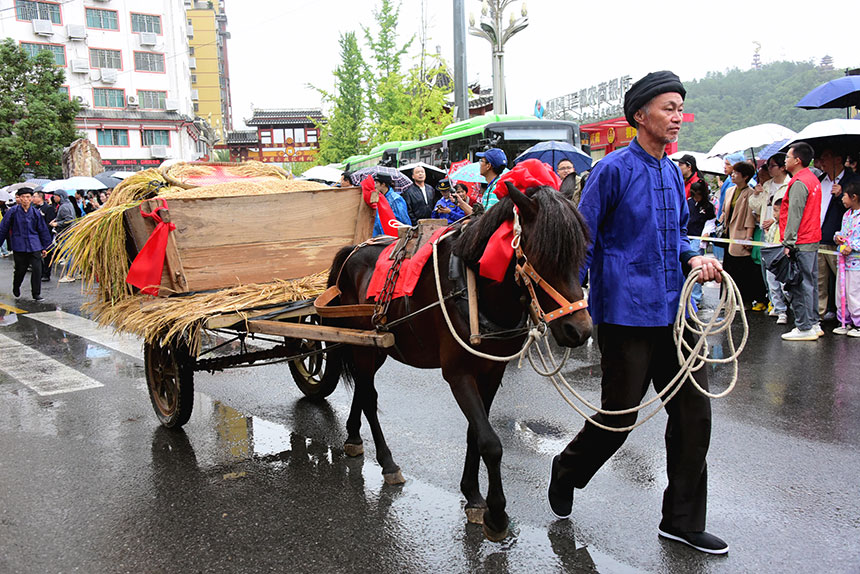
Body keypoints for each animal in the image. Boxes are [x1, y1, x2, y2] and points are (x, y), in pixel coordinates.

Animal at [322, 182, 592, 544]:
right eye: (540, 256)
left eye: (578, 255)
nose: (580, 330)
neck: (474, 289)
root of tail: (352, 251)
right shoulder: (458, 373)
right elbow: (491, 443)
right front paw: (496, 513)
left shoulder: (491, 371)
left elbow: (475, 434)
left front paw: (473, 495)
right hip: (364, 346)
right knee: (369, 396)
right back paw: (388, 462)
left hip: (375, 347)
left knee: (364, 392)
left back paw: (353, 437)